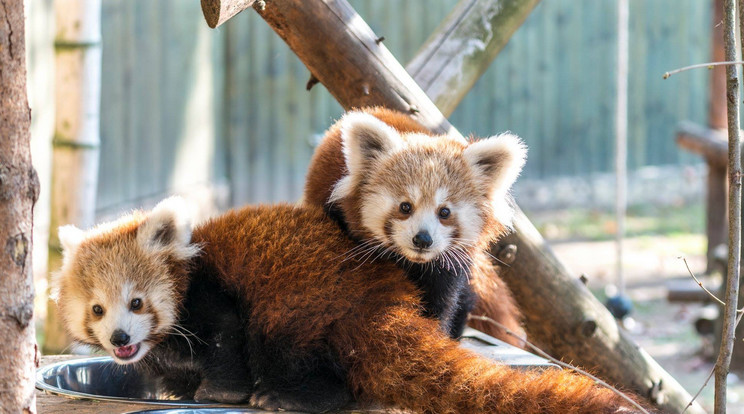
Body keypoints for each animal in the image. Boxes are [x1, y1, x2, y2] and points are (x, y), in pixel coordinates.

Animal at [52, 197, 648, 414]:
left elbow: (226, 341)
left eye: (137, 302)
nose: (121, 340)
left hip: (299, 311)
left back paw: (290, 396)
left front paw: (219, 392)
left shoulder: (210, 299)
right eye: (98, 310)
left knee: (291, 348)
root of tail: (381, 301)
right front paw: (180, 389)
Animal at [306, 106, 528, 342]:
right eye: (405, 207)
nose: (422, 239)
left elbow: (443, 301)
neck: (412, 262)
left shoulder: (448, 267)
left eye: (444, 212)